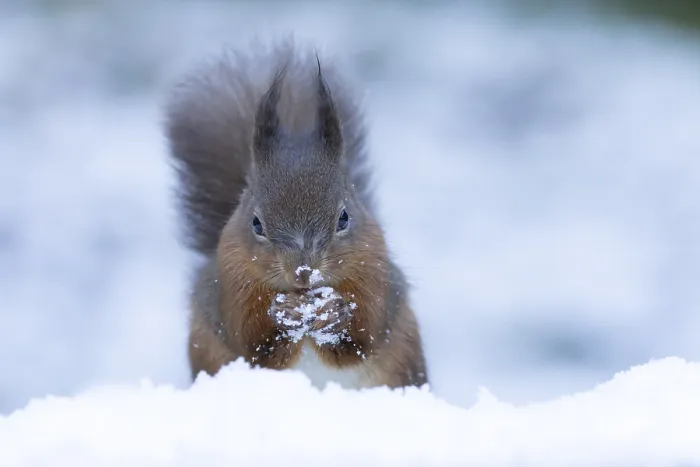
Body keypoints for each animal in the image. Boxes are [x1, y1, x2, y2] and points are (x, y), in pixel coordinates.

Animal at [163, 41, 428, 390]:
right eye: (256, 224)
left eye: (344, 218)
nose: (303, 272)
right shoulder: (230, 284)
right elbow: (251, 343)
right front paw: (283, 314)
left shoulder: (376, 274)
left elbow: (365, 335)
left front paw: (334, 314)